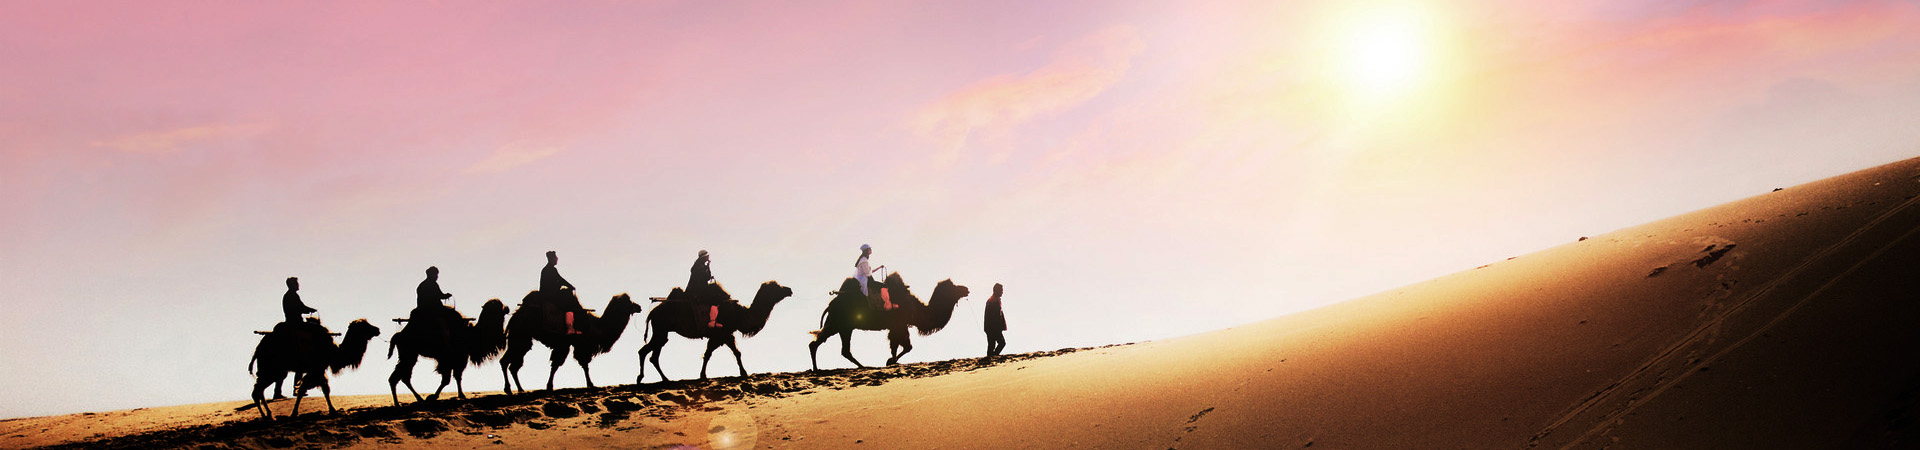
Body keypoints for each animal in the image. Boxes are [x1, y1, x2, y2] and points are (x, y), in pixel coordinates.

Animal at [247, 318, 381, 421]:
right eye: (364, 325)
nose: (377, 329)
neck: (333, 352)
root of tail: (259, 348)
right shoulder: (316, 369)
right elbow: (318, 389)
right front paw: (332, 411)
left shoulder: (317, 370)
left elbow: (317, 389)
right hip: (272, 369)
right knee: (257, 391)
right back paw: (267, 416)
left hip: (272, 370)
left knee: (259, 390)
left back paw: (269, 415)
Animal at [500, 290, 639, 394]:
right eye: (628, 302)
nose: (639, 307)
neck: (595, 326)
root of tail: (515, 316)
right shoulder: (575, 344)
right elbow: (576, 364)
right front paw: (590, 384)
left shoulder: (570, 345)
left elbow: (565, 365)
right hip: (520, 334)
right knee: (506, 362)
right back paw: (509, 389)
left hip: (521, 338)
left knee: (512, 365)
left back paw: (520, 389)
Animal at [635, 281, 795, 383]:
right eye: (776, 287)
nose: (789, 289)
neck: (739, 314)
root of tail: (652, 313)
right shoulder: (721, 334)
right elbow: (713, 354)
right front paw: (704, 375)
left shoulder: (725, 334)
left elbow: (730, 353)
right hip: (661, 329)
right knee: (646, 352)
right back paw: (644, 378)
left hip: (662, 331)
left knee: (652, 354)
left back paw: (663, 379)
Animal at [808, 273, 969, 370]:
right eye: (954, 287)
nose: (966, 289)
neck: (916, 310)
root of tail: (831, 304)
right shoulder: (899, 325)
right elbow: (905, 347)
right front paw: (890, 361)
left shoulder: (897, 326)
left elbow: (898, 346)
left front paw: (891, 361)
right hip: (840, 324)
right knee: (826, 344)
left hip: (840, 325)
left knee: (834, 347)